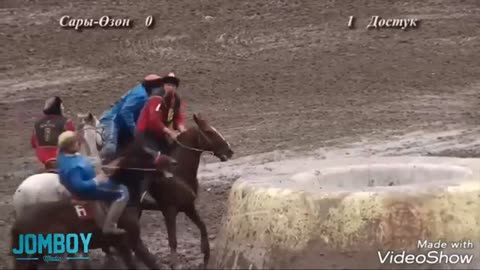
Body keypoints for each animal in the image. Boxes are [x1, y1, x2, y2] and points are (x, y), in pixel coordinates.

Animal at [138, 113, 235, 268]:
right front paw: (175, 264)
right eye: (209, 131)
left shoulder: (188, 206)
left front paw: (206, 256)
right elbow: (173, 241)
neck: (177, 173)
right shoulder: (169, 211)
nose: (230, 151)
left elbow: (202, 226)